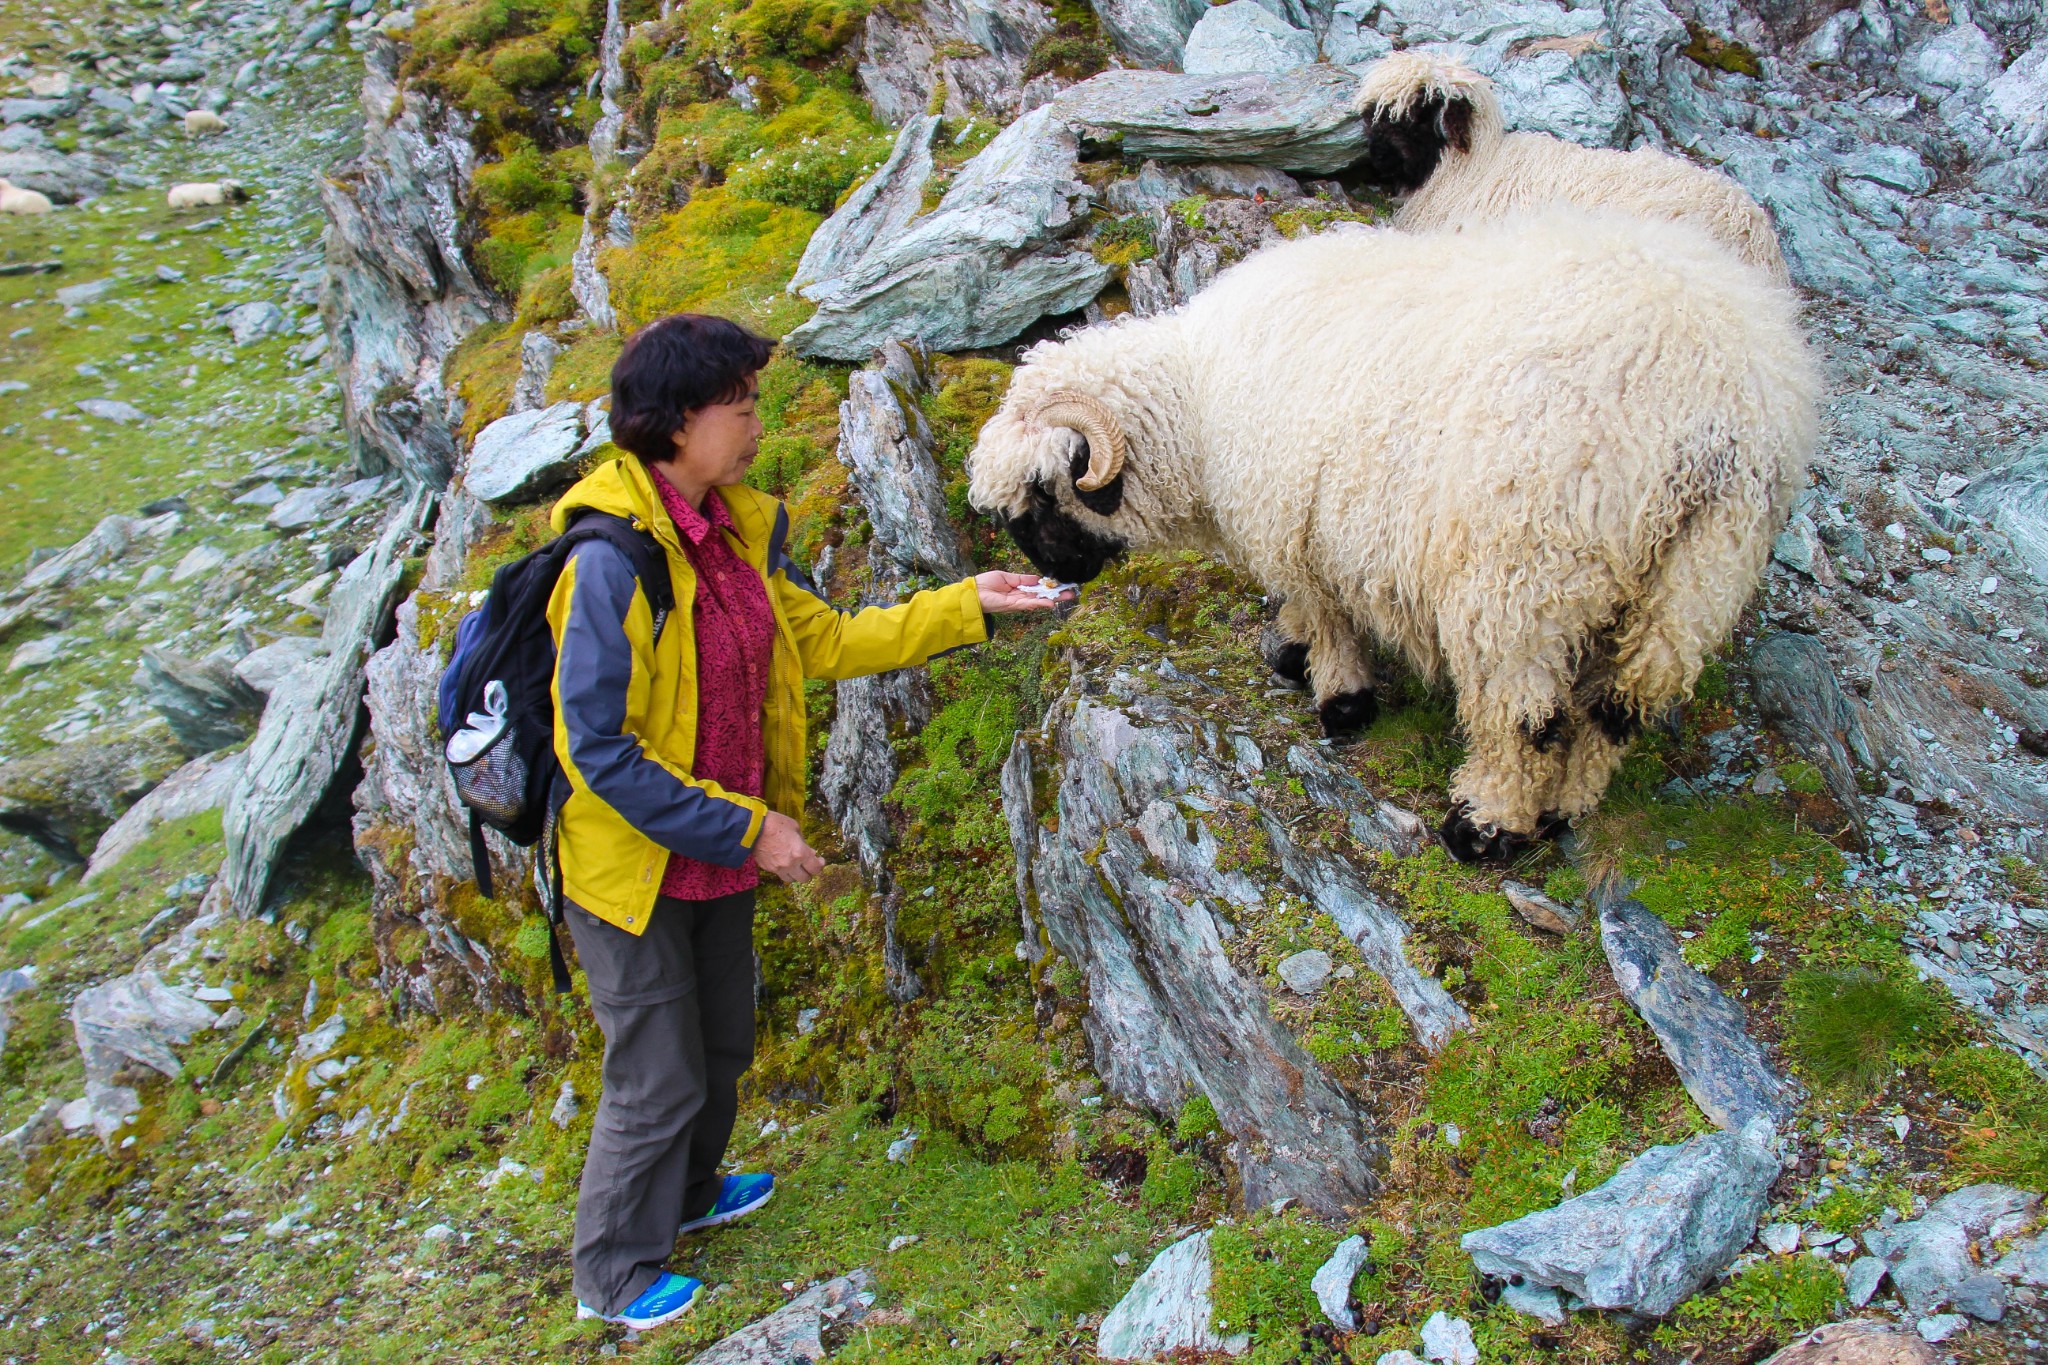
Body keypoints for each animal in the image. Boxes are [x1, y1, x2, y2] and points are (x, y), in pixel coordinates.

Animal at [966, 210, 1818, 863]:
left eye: (1043, 487)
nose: (1046, 569)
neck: (1198, 402)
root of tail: (1714, 414)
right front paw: (1291, 650)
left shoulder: (1294, 521)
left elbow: (1327, 613)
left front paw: (1337, 696)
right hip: (1696, 578)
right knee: (1620, 707)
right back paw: (1564, 810)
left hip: (1526, 576)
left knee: (1524, 717)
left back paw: (1486, 825)